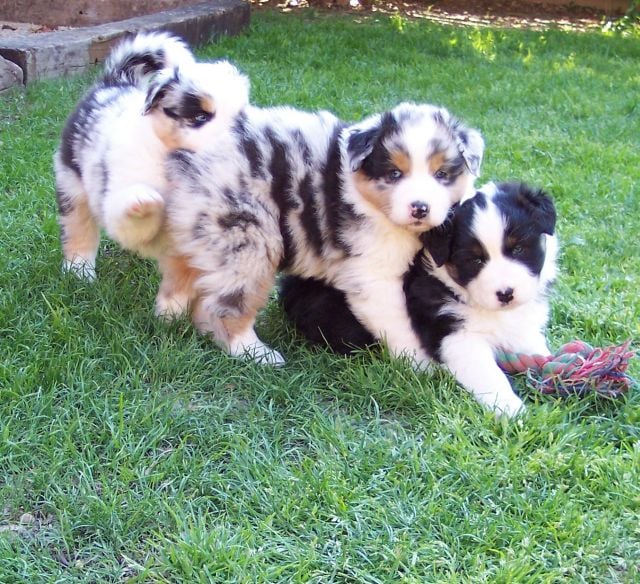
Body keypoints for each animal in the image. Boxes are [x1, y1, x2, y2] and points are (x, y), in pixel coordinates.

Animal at [161, 101, 484, 364]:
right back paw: (255, 353)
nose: (420, 208)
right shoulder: (373, 276)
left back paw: (171, 319)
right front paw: (421, 364)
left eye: (442, 174)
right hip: (249, 239)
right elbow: (398, 323)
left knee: (181, 280)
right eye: (395, 174)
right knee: (226, 306)